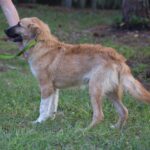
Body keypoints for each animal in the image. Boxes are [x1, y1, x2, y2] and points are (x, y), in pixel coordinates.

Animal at [4, 17, 150, 128]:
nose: (4, 30)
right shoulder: (54, 89)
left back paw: (85, 130)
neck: (40, 43)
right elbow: (52, 108)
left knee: (99, 115)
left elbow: (43, 107)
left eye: (19, 24)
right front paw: (49, 121)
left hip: (94, 89)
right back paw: (116, 128)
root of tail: (117, 57)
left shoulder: (45, 87)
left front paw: (38, 122)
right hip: (111, 91)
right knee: (124, 111)